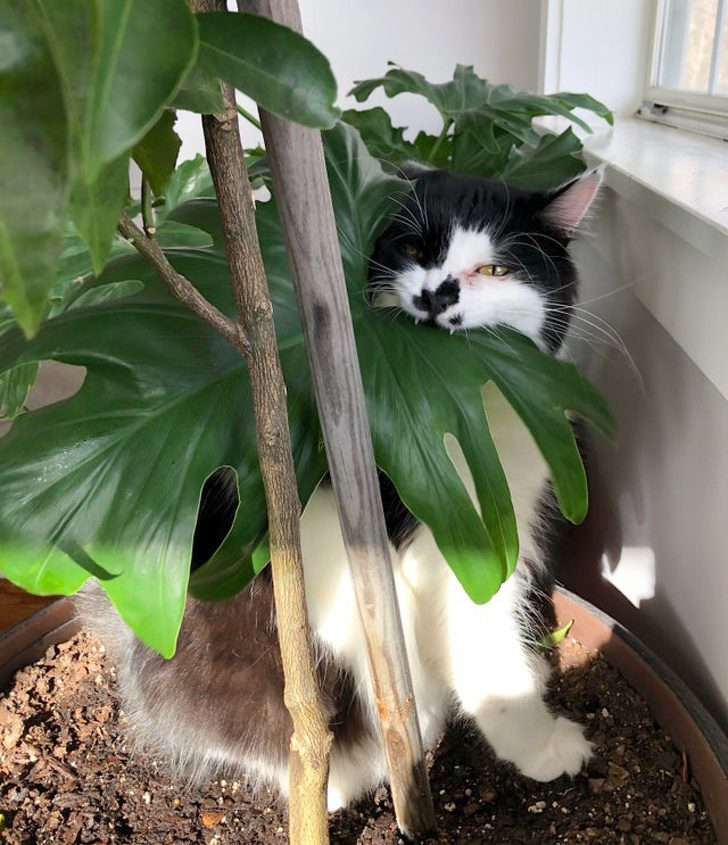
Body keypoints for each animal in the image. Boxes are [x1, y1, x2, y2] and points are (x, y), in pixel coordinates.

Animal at [77, 164, 602, 815]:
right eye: (413, 249)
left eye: (495, 269)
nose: (437, 294)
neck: (465, 397)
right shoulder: (457, 544)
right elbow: (489, 656)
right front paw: (544, 745)